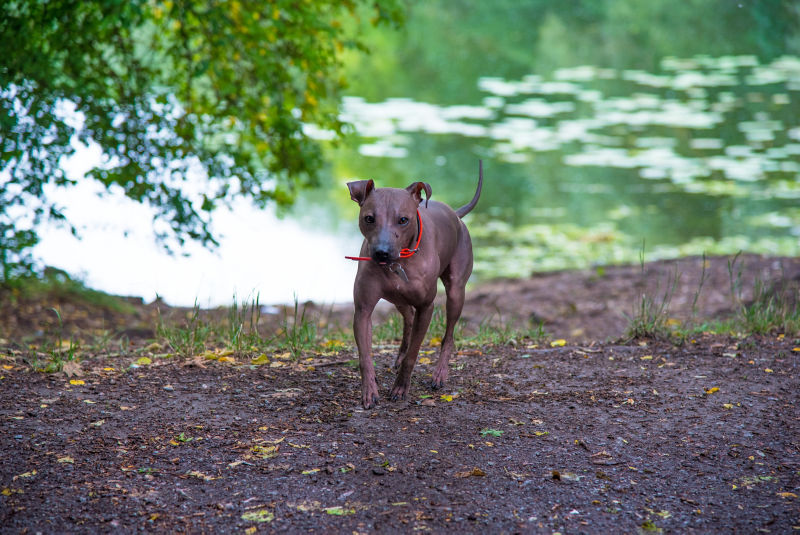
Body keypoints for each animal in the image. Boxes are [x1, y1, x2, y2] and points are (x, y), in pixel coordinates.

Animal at [344, 161, 482, 408]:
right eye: (369, 218)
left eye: (403, 220)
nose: (382, 252)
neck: (397, 263)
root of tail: (455, 214)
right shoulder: (363, 310)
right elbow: (365, 357)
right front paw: (369, 389)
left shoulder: (426, 307)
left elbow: (414, 355)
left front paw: (400, 388)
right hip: (397, 298)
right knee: (408, 317)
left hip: (456, 292)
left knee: (448, 336)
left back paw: (439, 374)